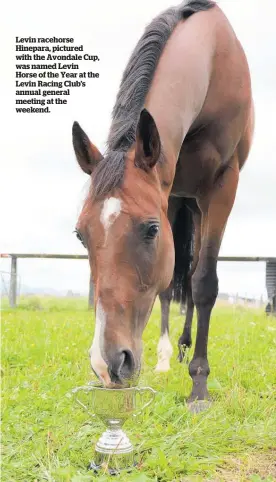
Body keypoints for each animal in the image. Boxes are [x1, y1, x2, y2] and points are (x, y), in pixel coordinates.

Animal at [72, 0, 253, 406]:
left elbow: (204, 283)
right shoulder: (167, 194)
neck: (212, 60)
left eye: (151, 230)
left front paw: (199, 386)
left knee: (196, 272)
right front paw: (167, 359)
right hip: (182, 201)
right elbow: (171, 283)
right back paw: (171, 353)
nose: (107, 364)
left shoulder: (223, 186)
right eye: (80, 235)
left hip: (199, 205)